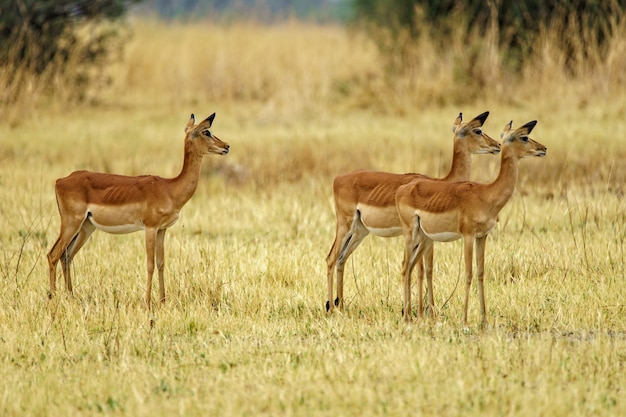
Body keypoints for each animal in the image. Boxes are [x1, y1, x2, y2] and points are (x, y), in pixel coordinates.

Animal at [47, 111, 229, 306]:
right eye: (206, 132)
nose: (226, 146)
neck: (170, 188)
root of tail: (60, 180)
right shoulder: (150, 228)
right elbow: (150, 264)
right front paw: (148, 303)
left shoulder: (162, 229)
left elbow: (161, 263)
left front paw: (163, 301)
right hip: (71, 223)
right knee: (53, 255)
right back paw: (53, 299)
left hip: (86, 227)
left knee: (66, 256)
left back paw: (71, 297)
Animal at [324, 112, 500, 314]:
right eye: (478, 130)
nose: (497, 145)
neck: (441, 183)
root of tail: (338, 178)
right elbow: (421, 270)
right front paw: (422, 311)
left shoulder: (428, 238)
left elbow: (428, 269)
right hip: (344, 225)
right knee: (331, 258)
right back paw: (330, 307)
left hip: (360, 231)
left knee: (341, 259)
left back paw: (341, 306)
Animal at [394, 120, 544, 324]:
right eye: (525, 137)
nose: (543, 149)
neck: (487, 194)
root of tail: (402, 189)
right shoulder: (468, 236)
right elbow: (468, 273)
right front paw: (464, 320)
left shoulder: (482, 236)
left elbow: (480, 273)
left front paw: (484, 320)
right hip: (411, 234)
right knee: (404, 267)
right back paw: (408, 318)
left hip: (424, 239)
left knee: (410, 268)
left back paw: (412, 316)